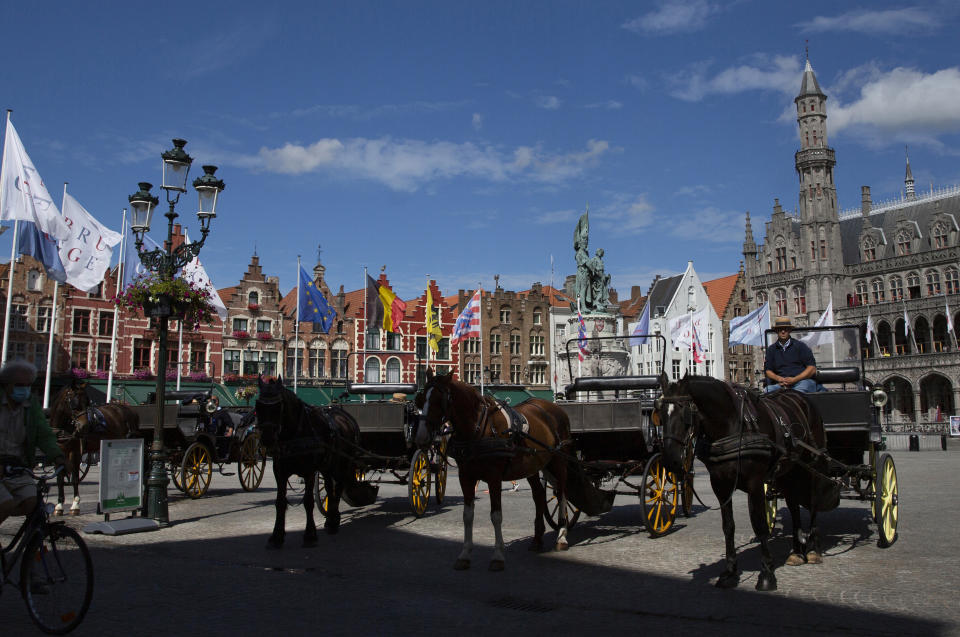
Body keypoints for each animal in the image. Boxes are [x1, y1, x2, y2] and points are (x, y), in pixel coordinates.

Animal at [49, 380, 140, 516]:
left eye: (87, 402)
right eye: (74, 403)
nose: (85, 426)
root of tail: (127, 409)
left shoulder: (75, 452)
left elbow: (75, 478)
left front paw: (75, 504)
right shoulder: (59, 452)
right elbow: (60, 479)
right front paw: (59, 505)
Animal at [412, 368, 568, 572]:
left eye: (440, 400)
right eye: (421, 399)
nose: (420, 437)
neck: (477, 429)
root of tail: (554, 406)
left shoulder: (494, 477)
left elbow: (496, 515)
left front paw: (498, 556)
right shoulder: (465, 476)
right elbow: (467, 515)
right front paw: (464, 555)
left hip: (558, 461)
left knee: (561, 493)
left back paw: (562, 536)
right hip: (533, 466)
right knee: (540, 495)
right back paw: (537, 539)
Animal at [656, 372, 836, 592]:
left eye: (686, 414)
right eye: (660, 414)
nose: (670, 461)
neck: (731, 425)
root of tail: (799, 396)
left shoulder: (755, 483)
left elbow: (760, 525)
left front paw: (767, 574)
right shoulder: (720, 485)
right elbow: (728, 526)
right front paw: (730, 573)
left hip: (814, 464)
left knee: (814, 501)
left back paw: (813, 550)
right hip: (788, 471)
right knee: (794, 506)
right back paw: (796, 552)